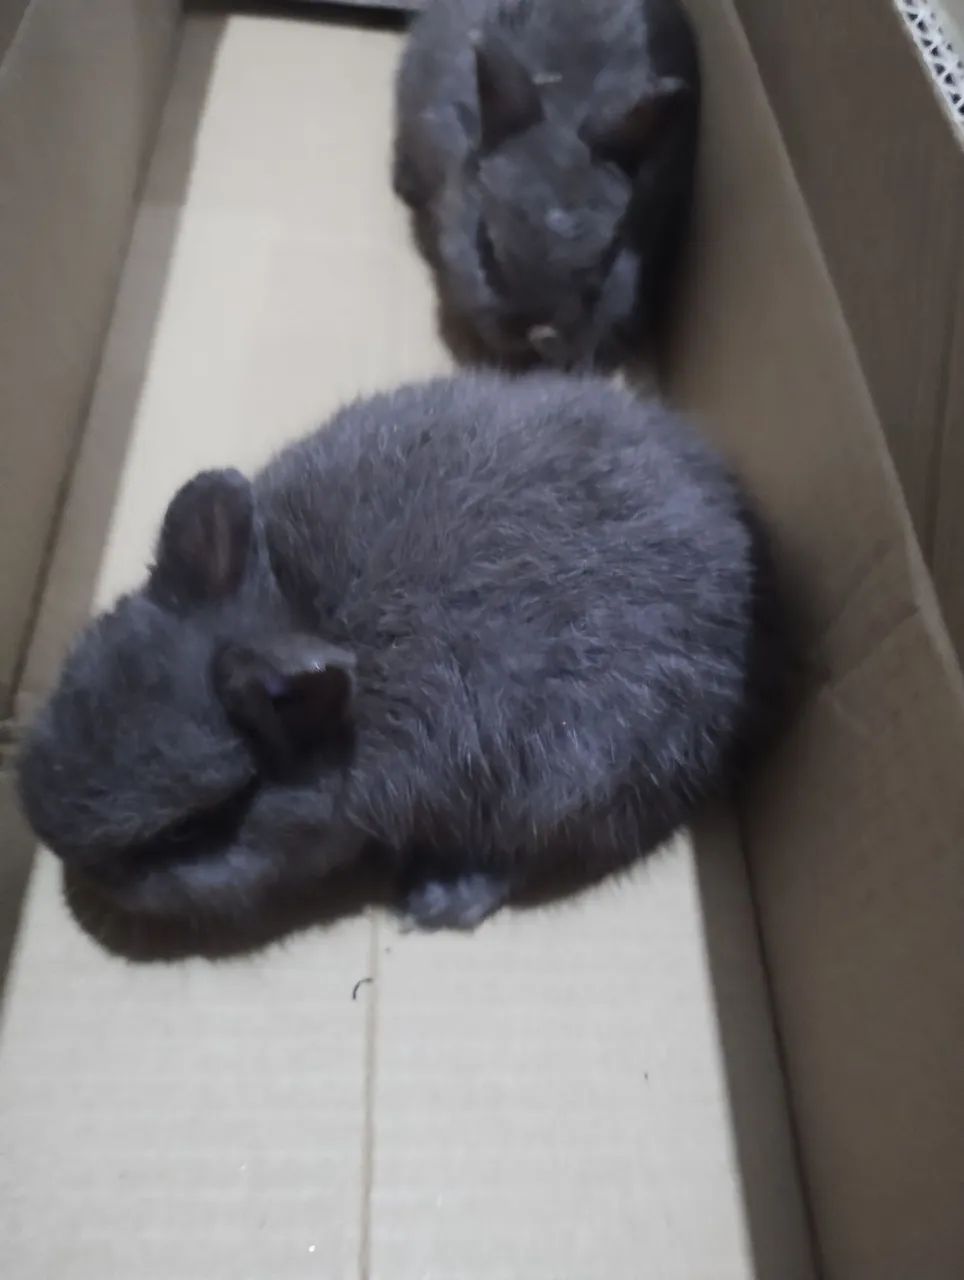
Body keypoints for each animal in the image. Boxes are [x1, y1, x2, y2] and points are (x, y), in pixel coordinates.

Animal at [18, 371, 784, 932]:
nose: (49, 836)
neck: (297, 603)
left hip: (573, 784)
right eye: (78, 670)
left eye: (188, 832)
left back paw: (440, 897)